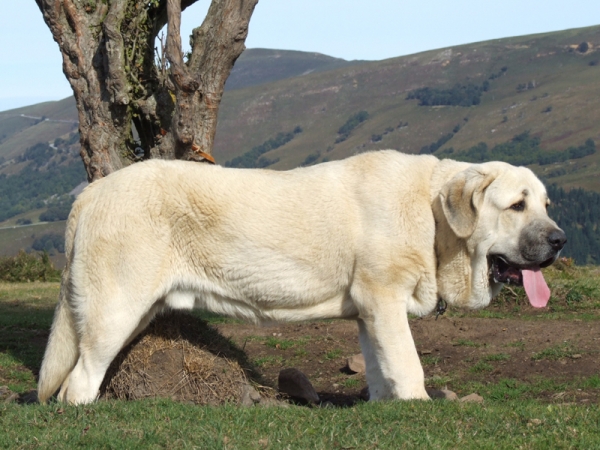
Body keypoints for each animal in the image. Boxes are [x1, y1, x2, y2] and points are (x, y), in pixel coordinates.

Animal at [38, 151, 568, 404]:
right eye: (516, 206)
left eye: (545, 205)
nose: (561, 240)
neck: (433, 218)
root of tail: (93, 191)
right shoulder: (384, 298)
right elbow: (409, 365)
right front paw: (418, 404)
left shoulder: (371, 312)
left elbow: (380, 366)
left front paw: (385, 405)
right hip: (115, 309)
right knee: (78, 382)